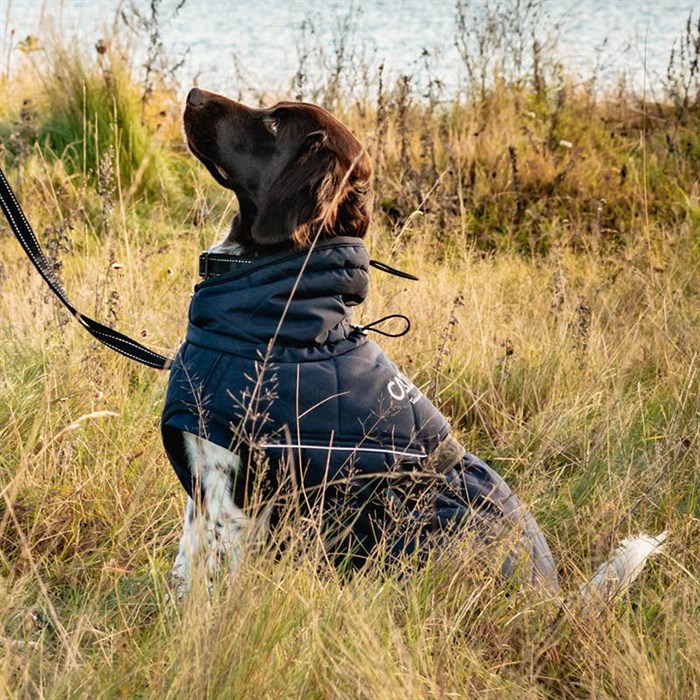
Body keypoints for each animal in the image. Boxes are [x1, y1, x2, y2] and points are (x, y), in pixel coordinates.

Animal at [160, 87, 668, 600]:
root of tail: (550, 600)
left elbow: (210, 575)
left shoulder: (236, 487)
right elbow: (187, 557)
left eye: (273, 124)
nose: (193, 94)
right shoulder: (206, 476)